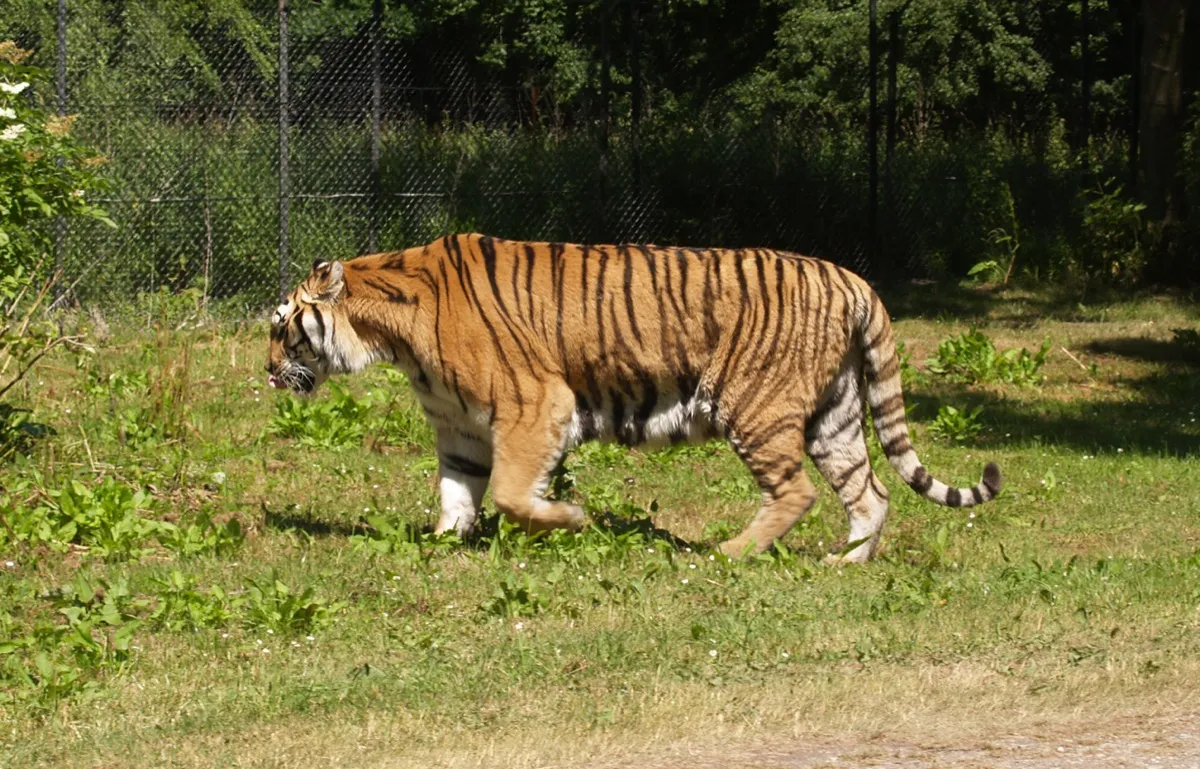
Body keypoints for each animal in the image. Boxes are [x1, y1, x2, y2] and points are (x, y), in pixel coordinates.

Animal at [265, 233, 1001, 563]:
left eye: (280, 325)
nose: (267, 373)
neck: (390, 336)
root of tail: (853, 278)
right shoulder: (460, 428)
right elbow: (456, 493)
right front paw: (445, 546)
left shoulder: (536, 404)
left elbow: (510, 491)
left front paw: (570, 518)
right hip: (836, 416)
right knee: (870, 493)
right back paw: (845, 564)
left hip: (756, 406)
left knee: (796, 492)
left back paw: (727, 553)